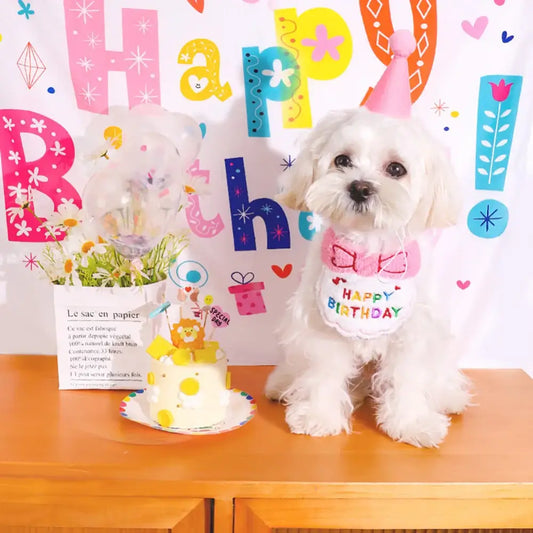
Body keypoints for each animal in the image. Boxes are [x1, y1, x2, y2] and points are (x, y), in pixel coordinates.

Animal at [264, 107, 468, 444]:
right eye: (342, 160)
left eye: (396, 169)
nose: (359, 187)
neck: (366, 260)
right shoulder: (322, 329)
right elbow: (323, 372)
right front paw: (318, 415)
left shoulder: (412, 335)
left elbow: (408, 378)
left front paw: (412, 423)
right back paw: (285, 384)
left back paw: (448, 396)